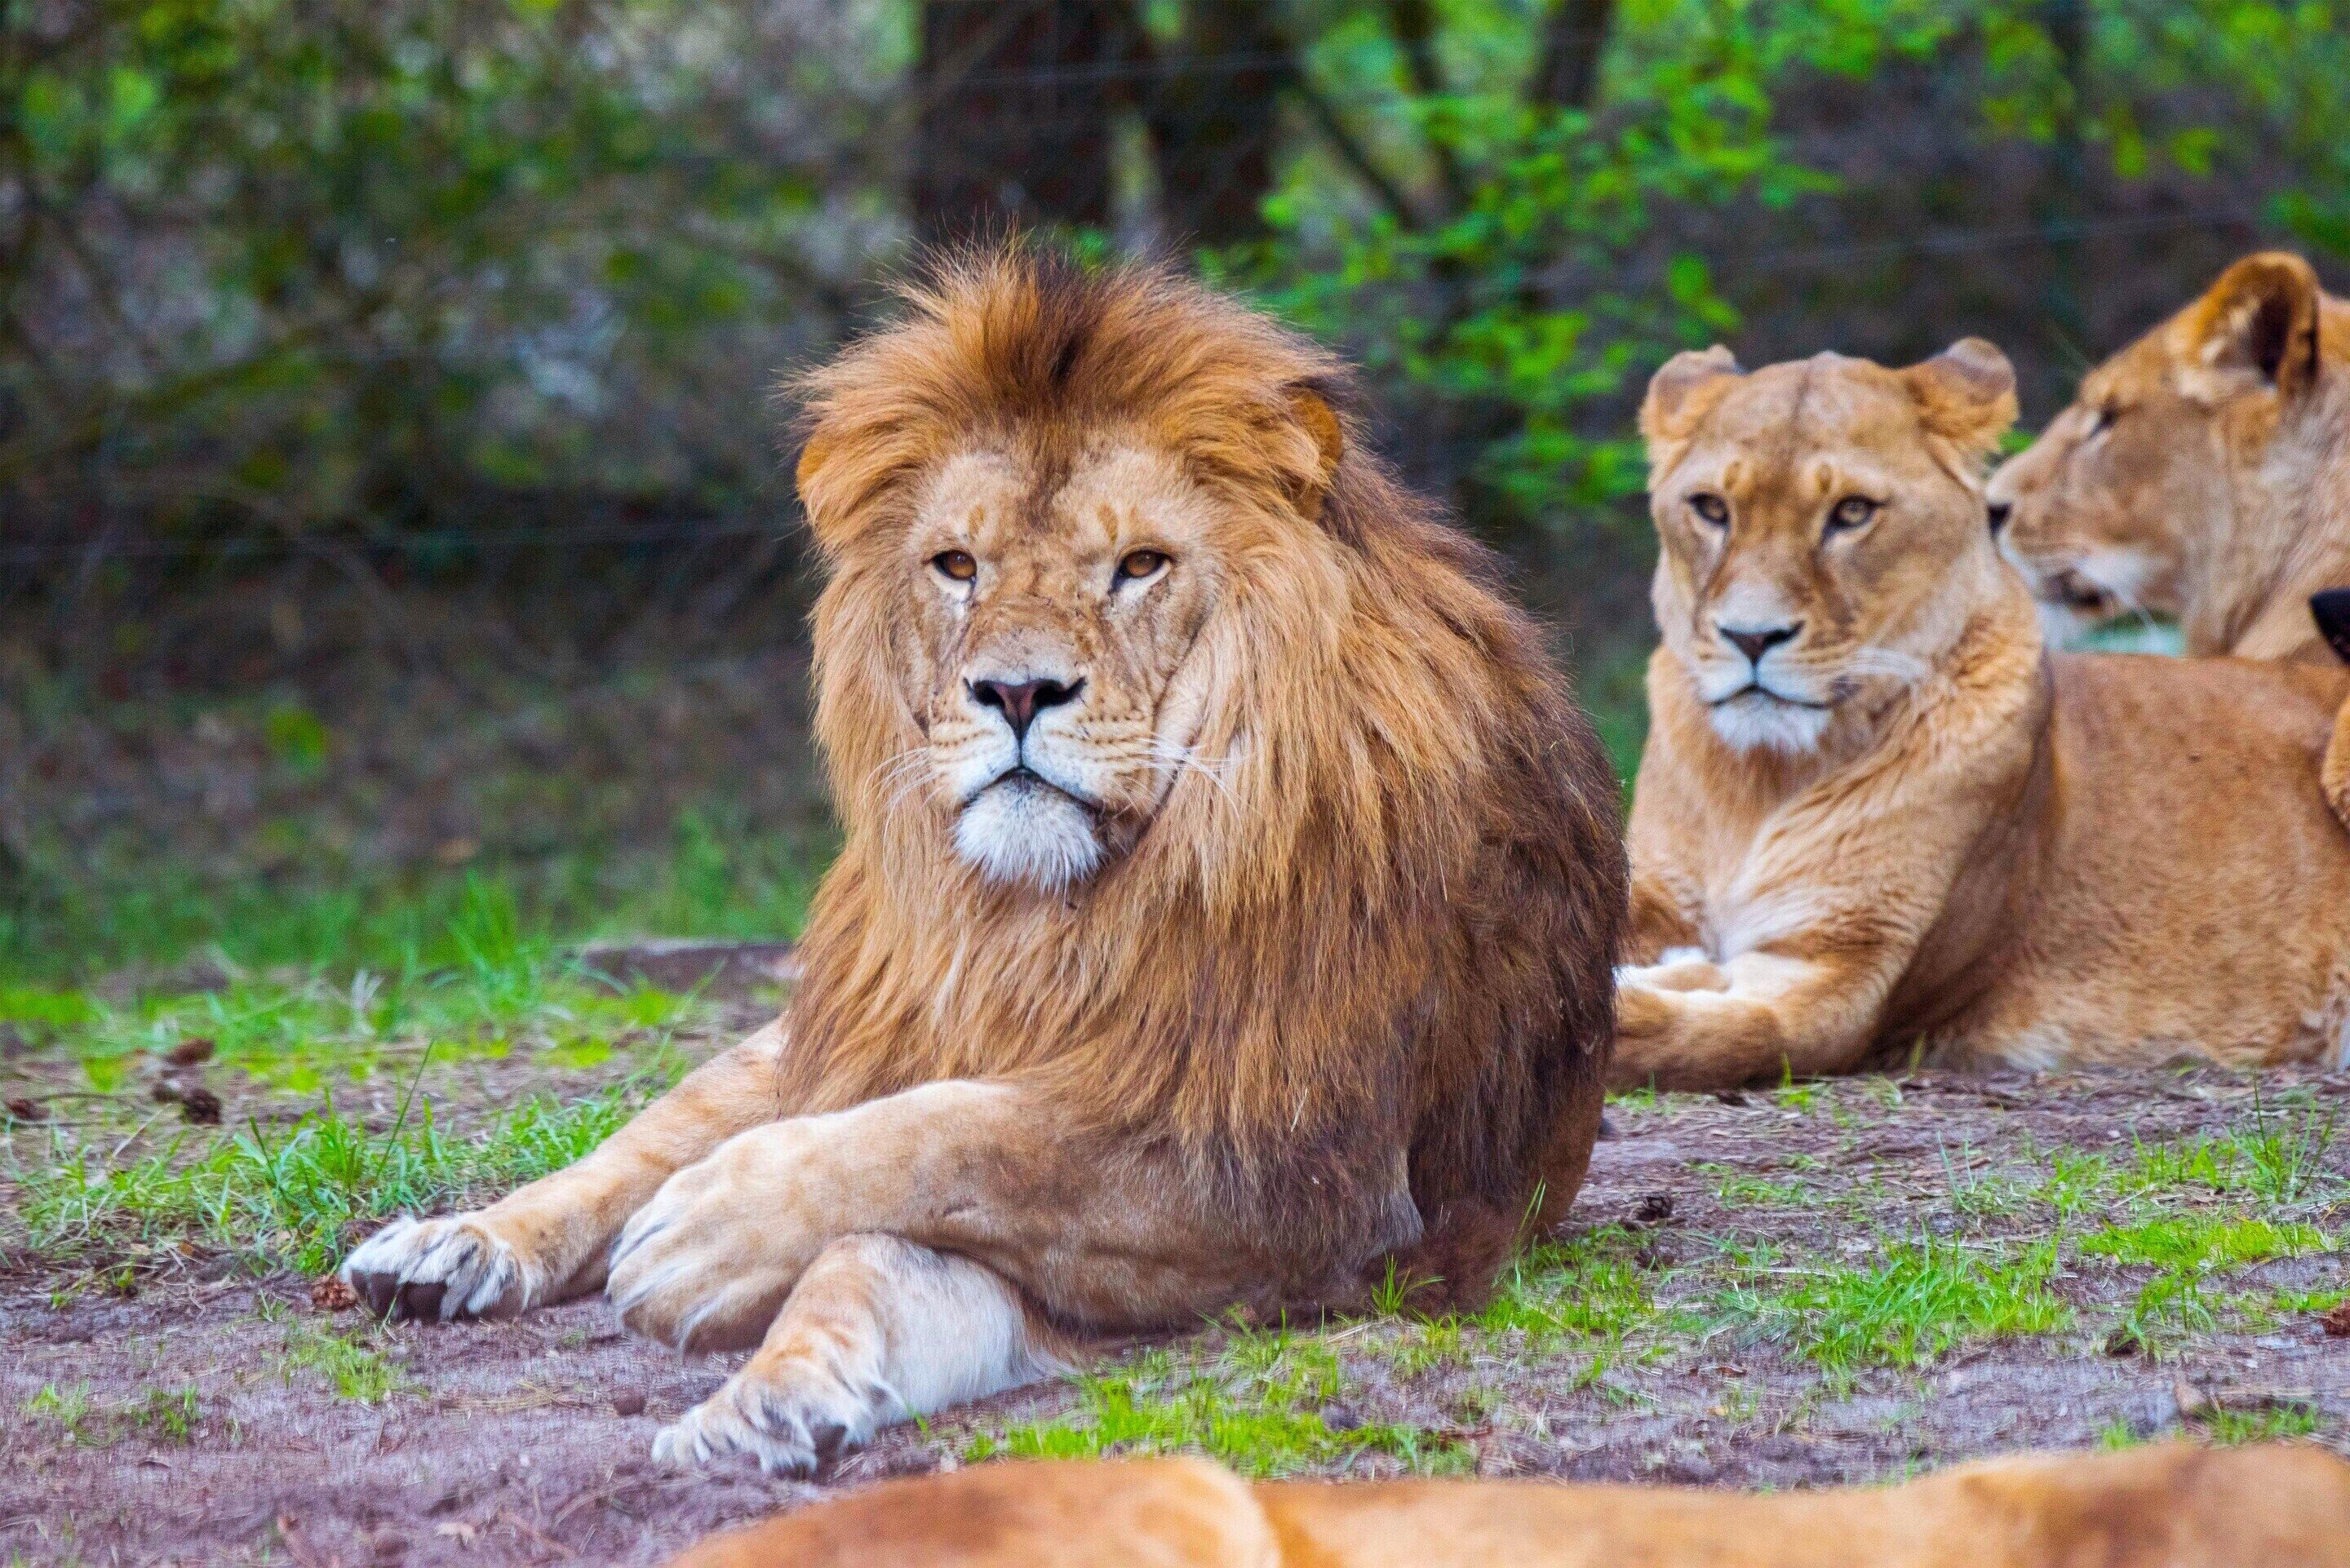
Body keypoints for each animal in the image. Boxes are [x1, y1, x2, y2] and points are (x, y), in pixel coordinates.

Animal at [338, 248, 1626, 1474]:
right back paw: (449, 1245)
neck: (1035, 916)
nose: (1015, 690)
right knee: (637, 1138)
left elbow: (954, 1155)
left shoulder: (1292, 1163)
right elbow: (921, 1153)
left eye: (1140, 565)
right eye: (957, 565)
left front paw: (733, 1291)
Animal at [1612, 339, 2350, 1091]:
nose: (1751, 637)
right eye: (1710, 508)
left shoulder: (1847, 975)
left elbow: (1726, 1034)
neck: (1759, 781)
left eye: (1852, 512)